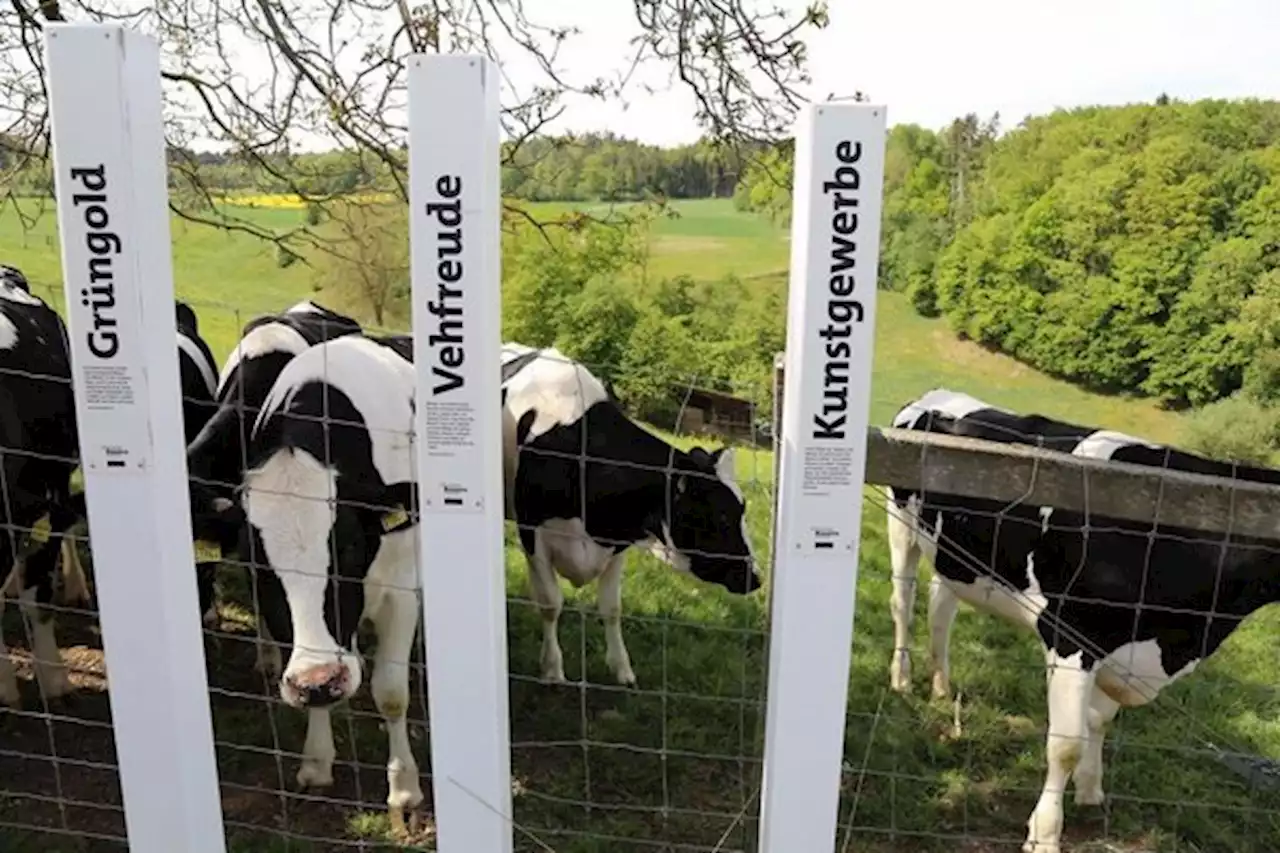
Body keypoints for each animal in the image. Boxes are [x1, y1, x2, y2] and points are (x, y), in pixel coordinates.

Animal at [499, 343, 757, 681]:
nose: (756, 578)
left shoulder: (617, 541)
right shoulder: (533, 533)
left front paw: (622, 669)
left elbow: (612, 608)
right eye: (722, 517)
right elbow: (550, 603)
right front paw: (553, 669)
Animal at [890, 384, 1280, 850]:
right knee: (903, 603)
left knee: (940, 610)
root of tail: (937, 394)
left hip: (955, 557)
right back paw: (901, 679)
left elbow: (1100, 720)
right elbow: (1066, 744)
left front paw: (1091, 790)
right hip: (902, 529)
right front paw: (1044, 833)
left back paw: (941, 688)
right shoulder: (1071, 637)